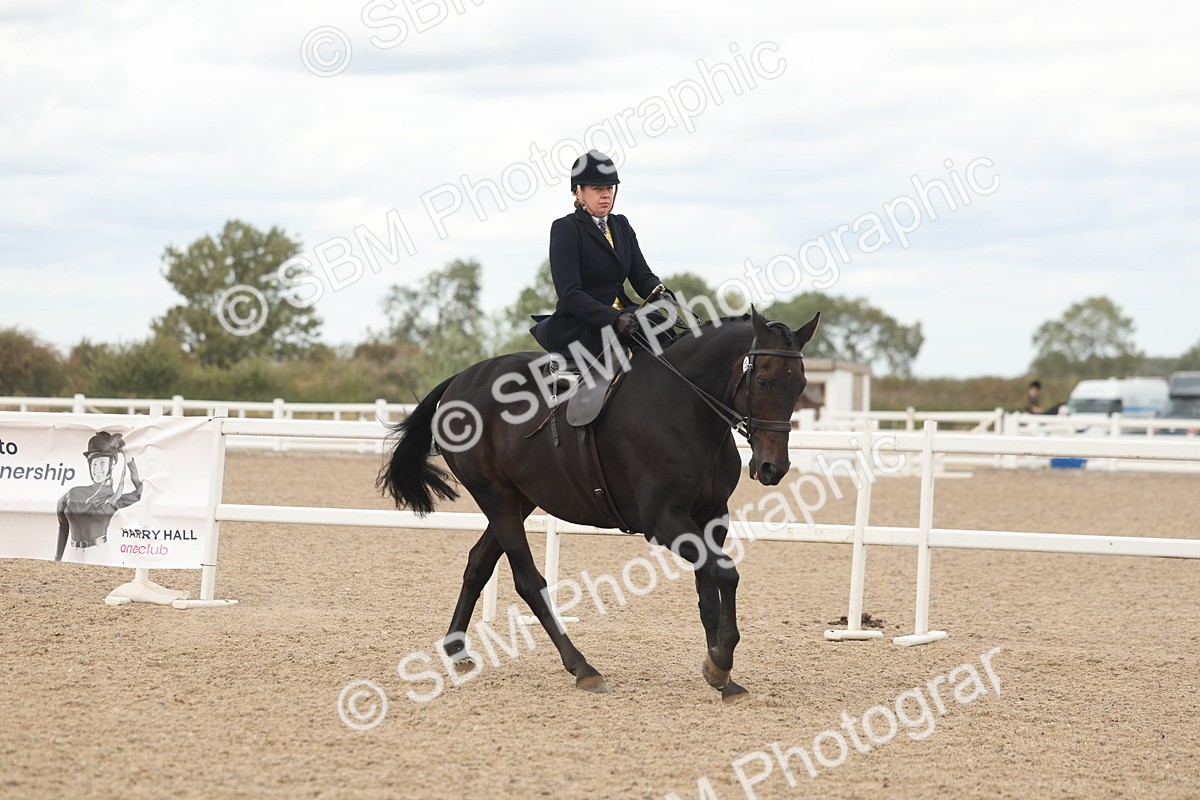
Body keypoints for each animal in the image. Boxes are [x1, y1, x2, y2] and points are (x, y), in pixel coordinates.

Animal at [378, 307, 820, 700]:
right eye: (763, 380)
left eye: (800, 384)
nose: (773, 467)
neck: (687, 407)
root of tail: (461, 379)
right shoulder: (664, 520)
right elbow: (726, 574)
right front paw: (722, 659)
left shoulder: (711, 517)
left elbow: (708, 591)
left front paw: (718, 673)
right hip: (496, 495)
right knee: (528, 581)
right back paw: (583, 668)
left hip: (520, 497)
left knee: (478, 563)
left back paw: (457, 649)